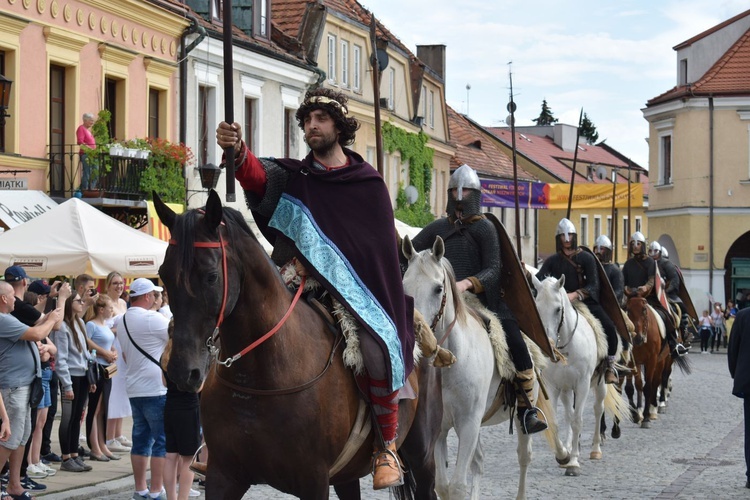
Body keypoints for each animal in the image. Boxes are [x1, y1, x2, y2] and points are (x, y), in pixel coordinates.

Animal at [155, 189, 444, 498]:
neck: (261, 375)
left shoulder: (313, 480)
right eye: (164, 274)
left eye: (211, 276)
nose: (182, 371)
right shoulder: (223, 476)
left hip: (422, 456)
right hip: (347, 474)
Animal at [406, 236, 552, 498]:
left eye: (438, 288)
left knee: (524, 456)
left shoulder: (468, 423)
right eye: (404, 286)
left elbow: (457, 485)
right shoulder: (441, 429)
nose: (415, 335)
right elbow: (443, 485)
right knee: (479, 461)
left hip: (522, 413)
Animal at [532, 274, 632, 476]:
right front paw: (563, 455)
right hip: (566, 389)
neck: (566, 348)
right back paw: (570, 447)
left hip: (599, 385)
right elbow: (555, 421)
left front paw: (573, 463)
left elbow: (578, 421)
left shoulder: (583, 384)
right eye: (537, 308)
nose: (548, 345)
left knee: (597, 409)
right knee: (568, 415)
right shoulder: (553, 386)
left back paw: (595, 449)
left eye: (558, 309)